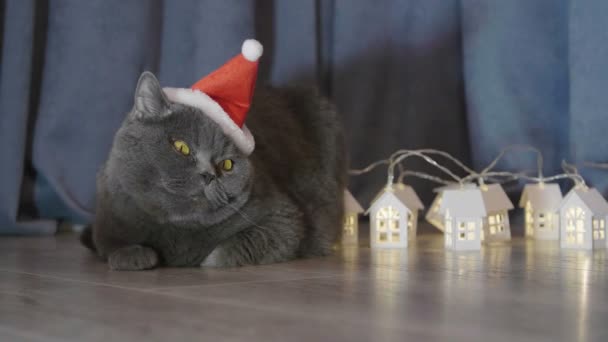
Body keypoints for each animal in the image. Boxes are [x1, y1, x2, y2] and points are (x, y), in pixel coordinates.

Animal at [81, 72, 346, 270]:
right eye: (181, 147)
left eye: (226, 165)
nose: (208, 175)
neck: (177, 228)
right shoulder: (109, 214)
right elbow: (108, 244)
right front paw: (134, 255)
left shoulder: (284, 220)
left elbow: (224, 253)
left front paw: (203, 258)